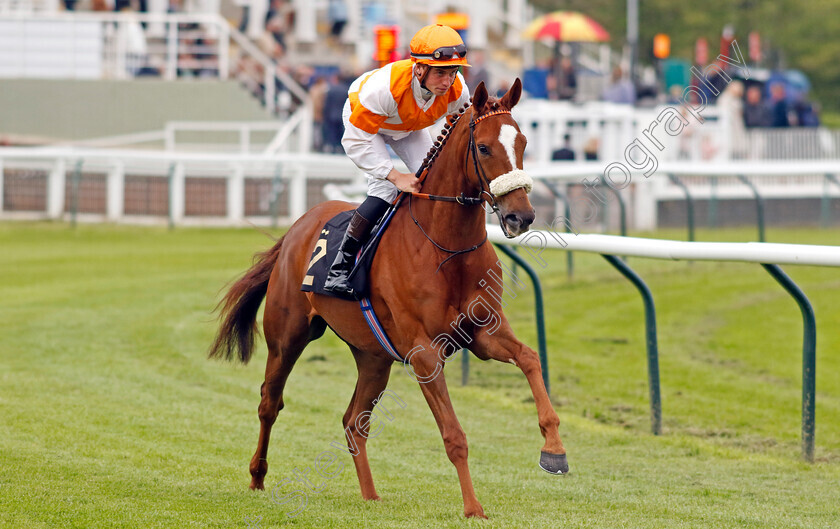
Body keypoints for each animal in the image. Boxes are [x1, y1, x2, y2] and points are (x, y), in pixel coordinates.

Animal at [207, 80, 568, 516]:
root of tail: (297, 227)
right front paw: (473, 507)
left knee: (353, 422)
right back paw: (257, 477)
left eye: (524, 142)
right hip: (287, 336)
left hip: (373, 356)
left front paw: (554, 450)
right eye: (483, 148)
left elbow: (530, 358)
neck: (446, 246)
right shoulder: (425, 352)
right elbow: (454, 436)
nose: (521, 216)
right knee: (269, 403)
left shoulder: (484, 333)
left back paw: (370, 495)